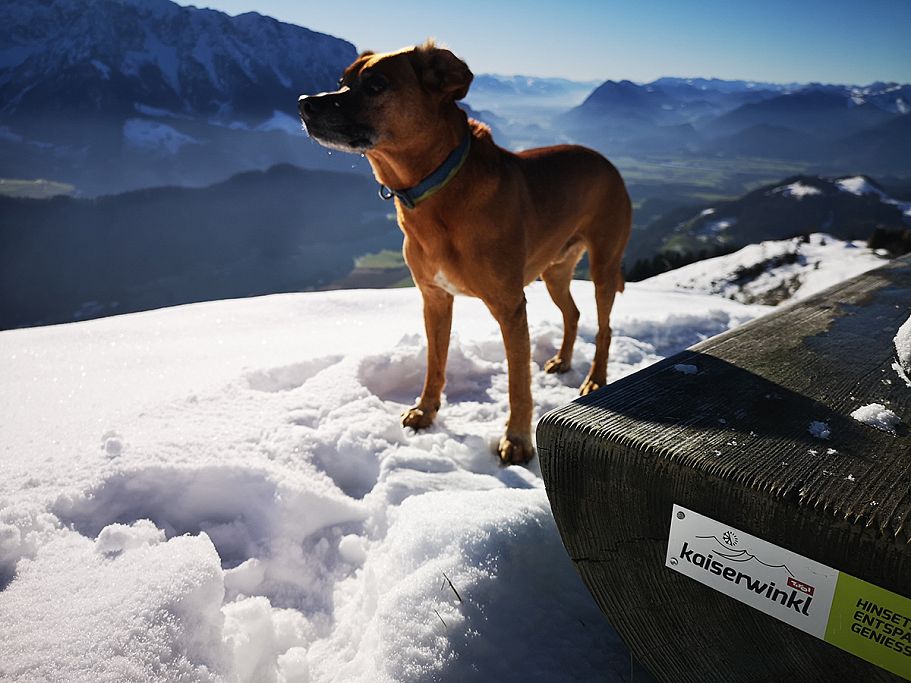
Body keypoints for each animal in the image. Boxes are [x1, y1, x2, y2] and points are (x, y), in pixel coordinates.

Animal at [296, 41, 632, 464]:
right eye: (342, 81)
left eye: (375, 84)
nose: (305, 103)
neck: (437, 193)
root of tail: (607, 162)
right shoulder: (434, 299)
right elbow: (434, 363)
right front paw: (425, 411)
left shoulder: (509, 307)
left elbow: (518, 383)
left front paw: (517, 439)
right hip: (554, 271)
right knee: (572, 313)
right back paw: (564, 360)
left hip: (604, 264)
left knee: (604, 327)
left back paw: (594, 379)